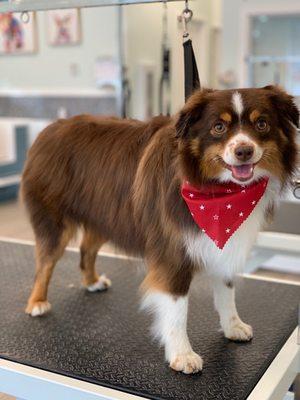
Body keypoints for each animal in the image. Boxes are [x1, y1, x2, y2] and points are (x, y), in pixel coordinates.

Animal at [21, 86, 298, 374]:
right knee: (45, 262)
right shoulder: (172, 252)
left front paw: (232, 326)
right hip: (55, 222)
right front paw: (182, 355)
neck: (219, 191)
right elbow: (177, 310)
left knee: (87, 248)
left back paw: (92, 281)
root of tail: (50, 129)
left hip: (107, 215)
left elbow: (226, 292)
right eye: (218, 127)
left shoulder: (224, 245)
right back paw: (37, 302)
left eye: (262, 124)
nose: (244, 150)